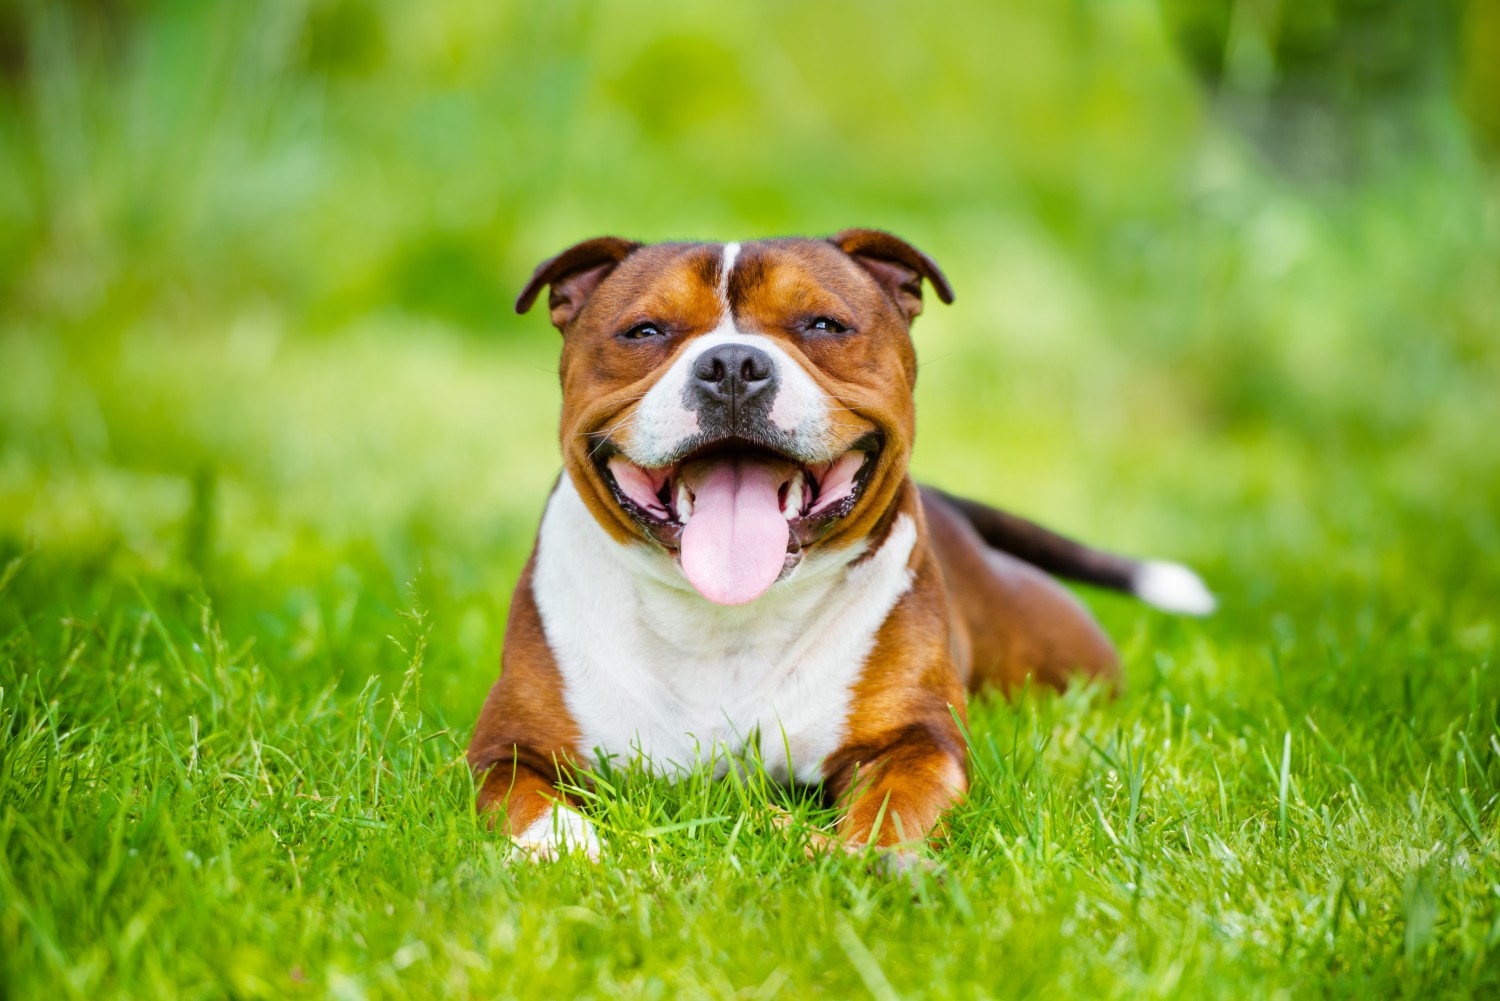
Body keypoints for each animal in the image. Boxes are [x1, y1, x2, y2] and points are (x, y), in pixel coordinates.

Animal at [462, 229, 1212, 864]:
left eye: (822, 324)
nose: (731, 363)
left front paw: (859, 853)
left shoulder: (915, 740)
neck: (722, 622)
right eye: (645, 331)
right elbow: (525, 798)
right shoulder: (509, 746)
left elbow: (893, 803)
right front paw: (564, 847)